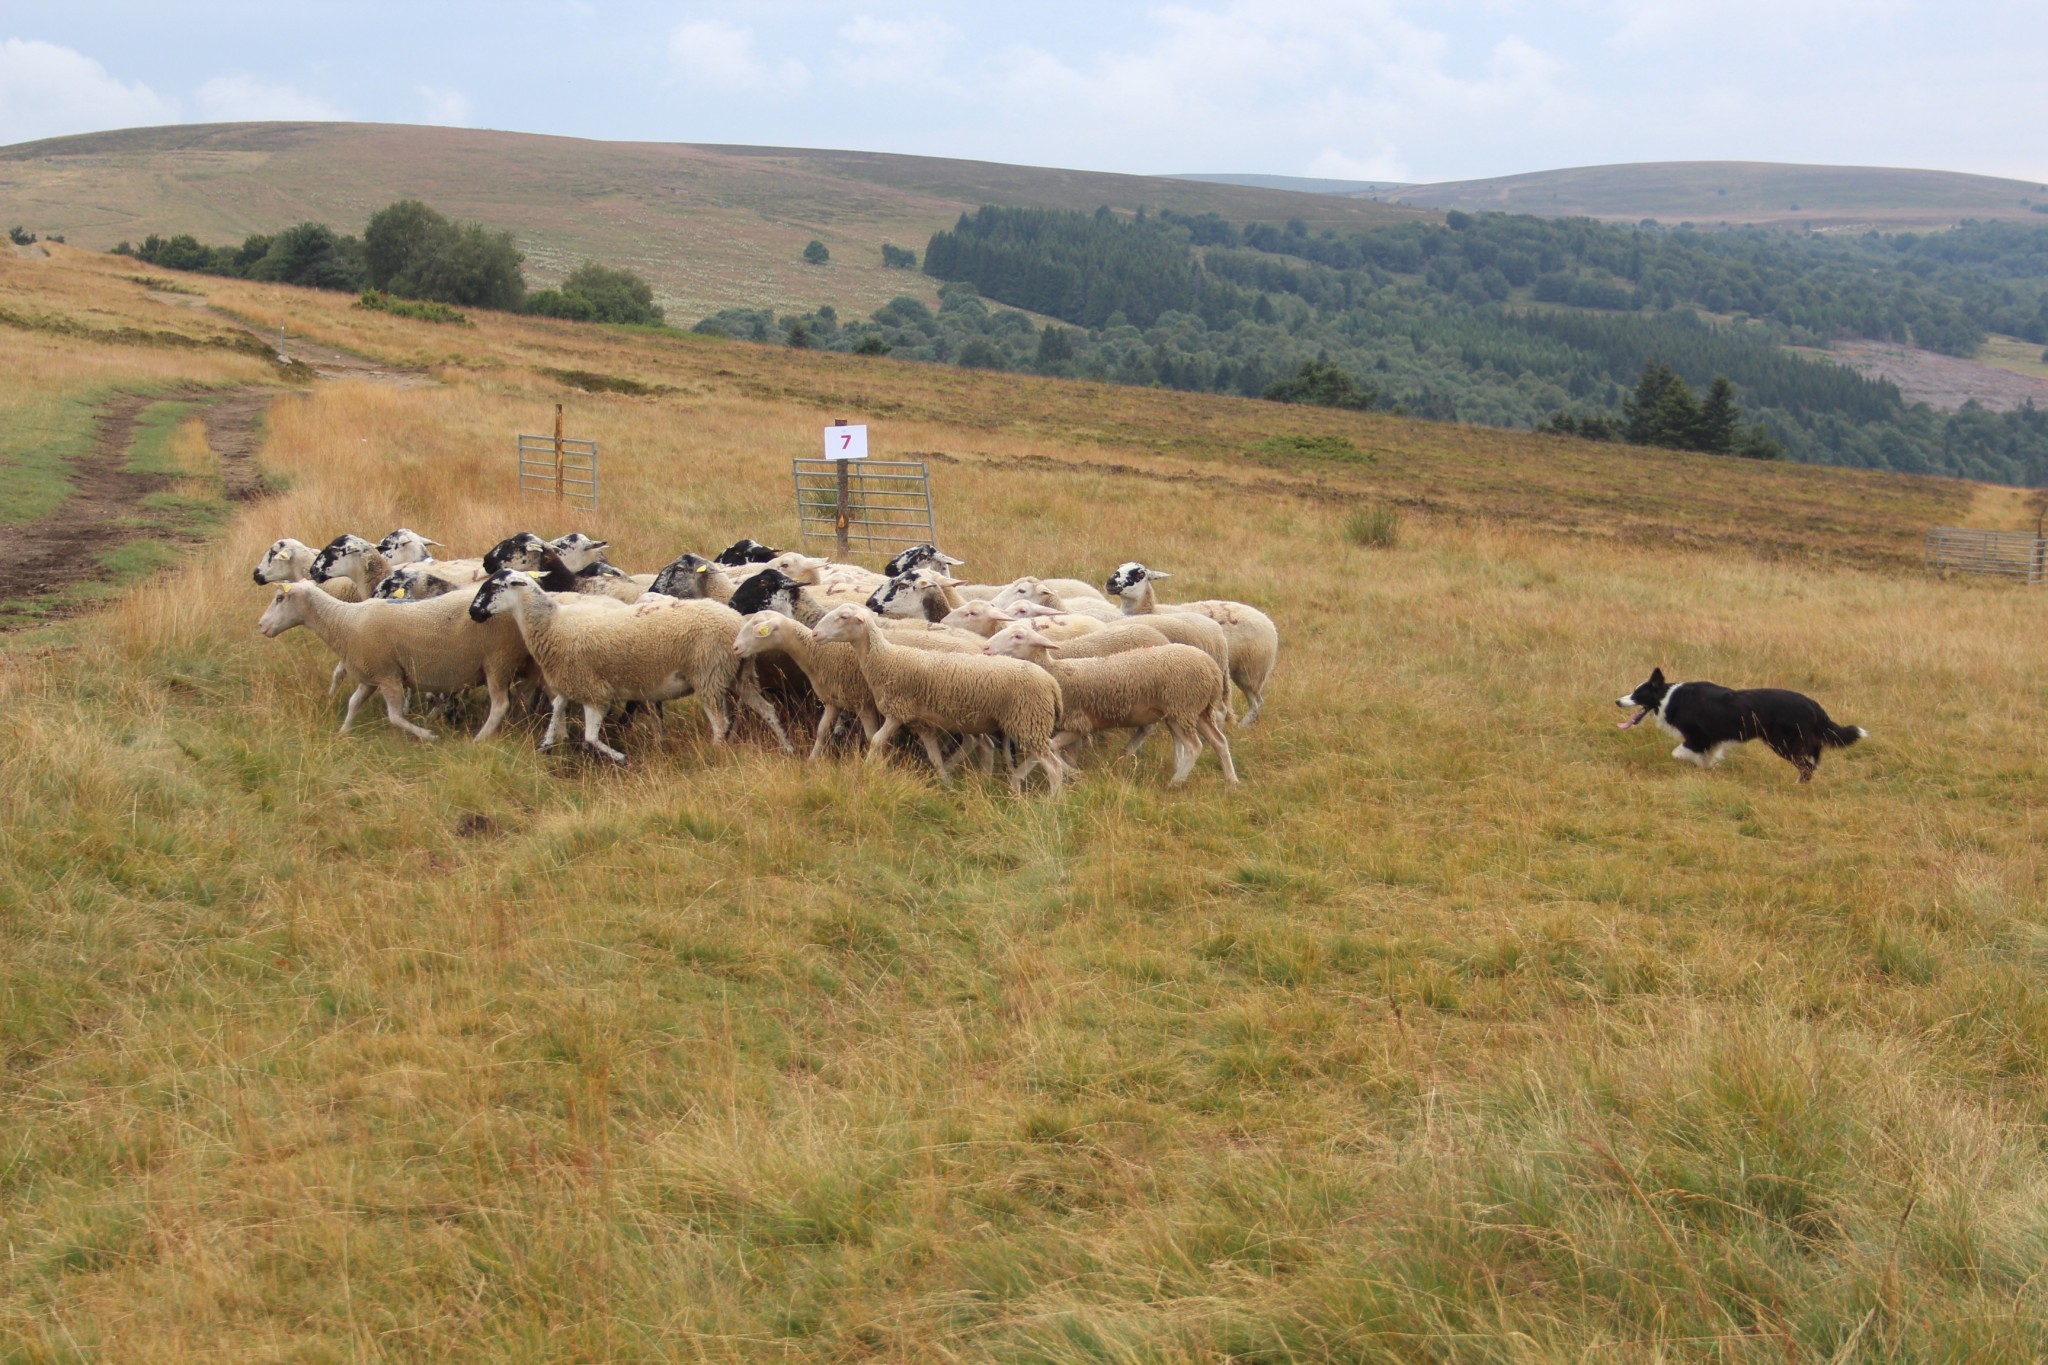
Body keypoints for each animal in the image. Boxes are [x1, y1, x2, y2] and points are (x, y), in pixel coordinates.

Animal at [806, 605, 1064, 789]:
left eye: (843, 616)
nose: (815, 634)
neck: (885, 658)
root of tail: (1052, 683)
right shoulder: (920, 722)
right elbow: (934, 754)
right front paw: (945, 783)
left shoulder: (897, 711)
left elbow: (877, 740)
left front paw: (865, 772)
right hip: (1013, 723)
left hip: (1028, 721)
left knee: (1053, 766)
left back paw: (1053, 802)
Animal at [1114, 560, 1269, 724]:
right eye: (1118, 568)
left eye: (1140, 574)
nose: (1110, 583)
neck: (1151, 611)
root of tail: (1266, 619)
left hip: (1251, 671)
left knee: (1255, 703)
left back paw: (1243, 725)